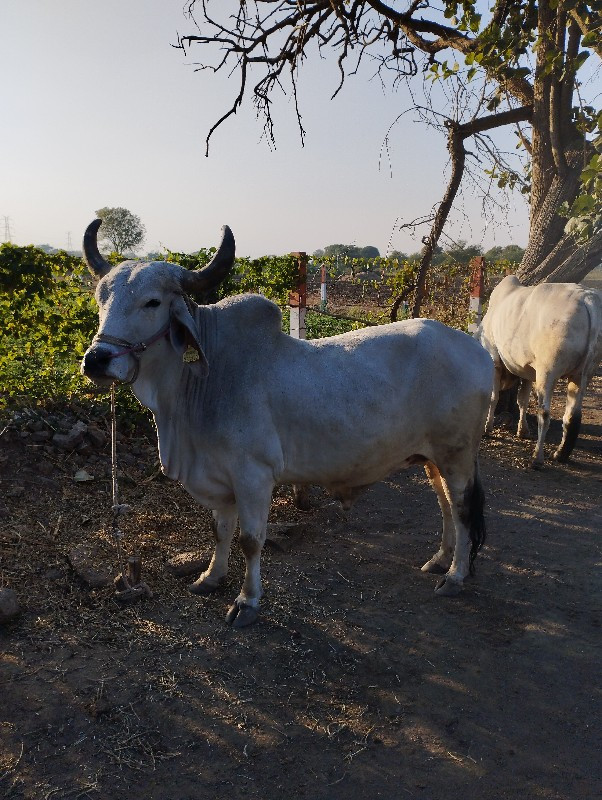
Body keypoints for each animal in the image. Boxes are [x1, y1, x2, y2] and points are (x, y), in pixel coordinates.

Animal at [81, 222, 492, 628]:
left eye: (152, 302)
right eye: (100, 298)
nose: (97, 359)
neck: (196, 389)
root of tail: (477, 350)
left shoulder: (253, 476)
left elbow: (250, 540)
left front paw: (247, 601)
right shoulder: (220, 478)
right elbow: (220, 530)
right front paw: (211, 577)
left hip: (456, 455)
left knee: (462, 508)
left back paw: (455, 576)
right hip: (432, 458)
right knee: (445, 504)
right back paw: (440, 560)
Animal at [474, 276, 600, 466]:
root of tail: (588, 299)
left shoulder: (494, 361)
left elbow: (493, 397)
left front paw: (487, 428)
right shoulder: (527, 372)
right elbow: (523, 401)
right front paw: (522, 430)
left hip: (548, 373)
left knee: (545, 413)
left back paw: (537, 458)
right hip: (583, 374)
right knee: (573, 415)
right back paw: (560, 455)